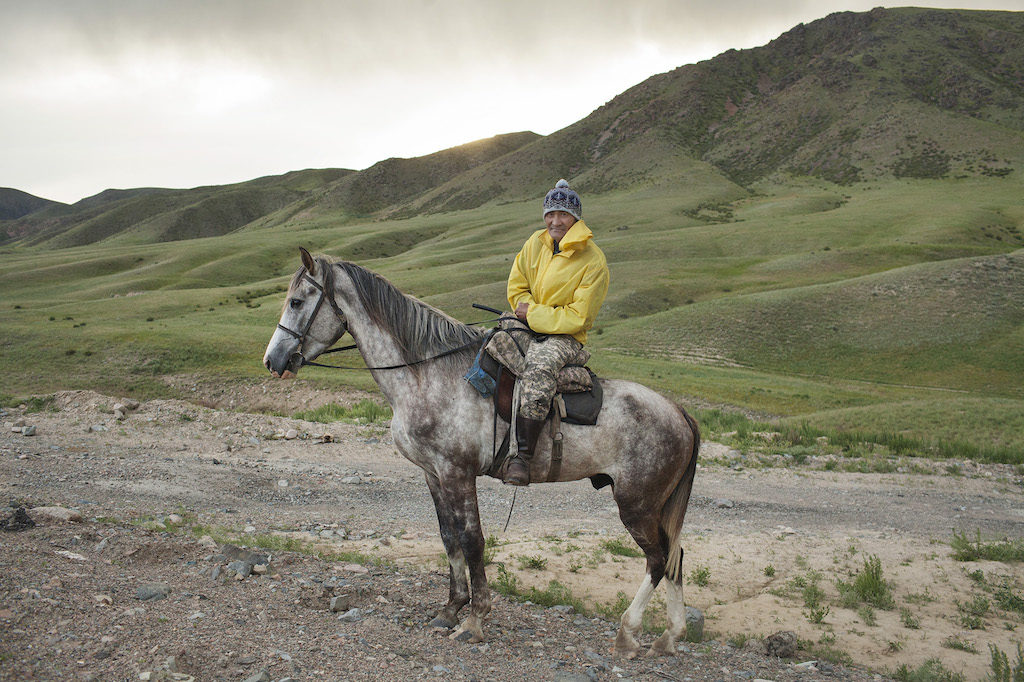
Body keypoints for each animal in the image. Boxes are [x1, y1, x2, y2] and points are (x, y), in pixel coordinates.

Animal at [262, 248, 704, 655]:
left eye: (297, 301)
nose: (273, 360)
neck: (427, 373)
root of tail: (680, 412)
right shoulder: (433, 473)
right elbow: (449, 537)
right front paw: (449, 609)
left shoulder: (458, 472)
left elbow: (472, 540)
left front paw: (474, 620)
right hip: (653, 506)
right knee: (676, 555)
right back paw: (670, 637)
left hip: (636, 504)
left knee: (658, 559)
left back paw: (629, 633)